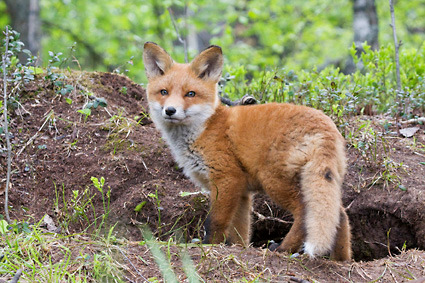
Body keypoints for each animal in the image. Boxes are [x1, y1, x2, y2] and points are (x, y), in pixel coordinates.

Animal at [142, 42, 352, 262]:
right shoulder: (241, 191)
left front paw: (210, 246)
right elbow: (240, 231)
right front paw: (239, 249)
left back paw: (283, 249)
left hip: (274, 181)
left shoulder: (227, 178)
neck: (204, 128)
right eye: (164, 92)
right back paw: (342, 259)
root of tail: (325, 124)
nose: (170, 111)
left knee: (304, 213)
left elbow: (214, 222)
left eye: (190, 94)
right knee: (340, 215)